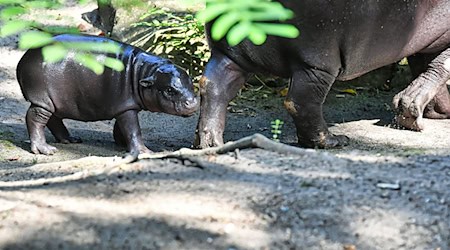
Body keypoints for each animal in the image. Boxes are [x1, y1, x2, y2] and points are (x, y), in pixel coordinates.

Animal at [16, 34, 198, 155]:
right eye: (169, 90)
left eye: (191, 82)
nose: (193, 103)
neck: (144, 72)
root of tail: (24, 59)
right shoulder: (126, 108)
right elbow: (134, 130)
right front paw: (145, 152)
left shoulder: (125, 106)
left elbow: (123, 127)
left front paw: (122, 143)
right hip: (42, 100)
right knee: (35, 118)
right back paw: (45, 150)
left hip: (53, 100)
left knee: (53, 118)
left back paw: (70, 139)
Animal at [197, 0, 450, 148]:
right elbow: (440, 65)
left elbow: (427, 66)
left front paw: (433, 111)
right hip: (318, 63)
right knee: (300, 102)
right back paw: (332, 141)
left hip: (229, 54)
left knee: (213, 86)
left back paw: (209, 143)